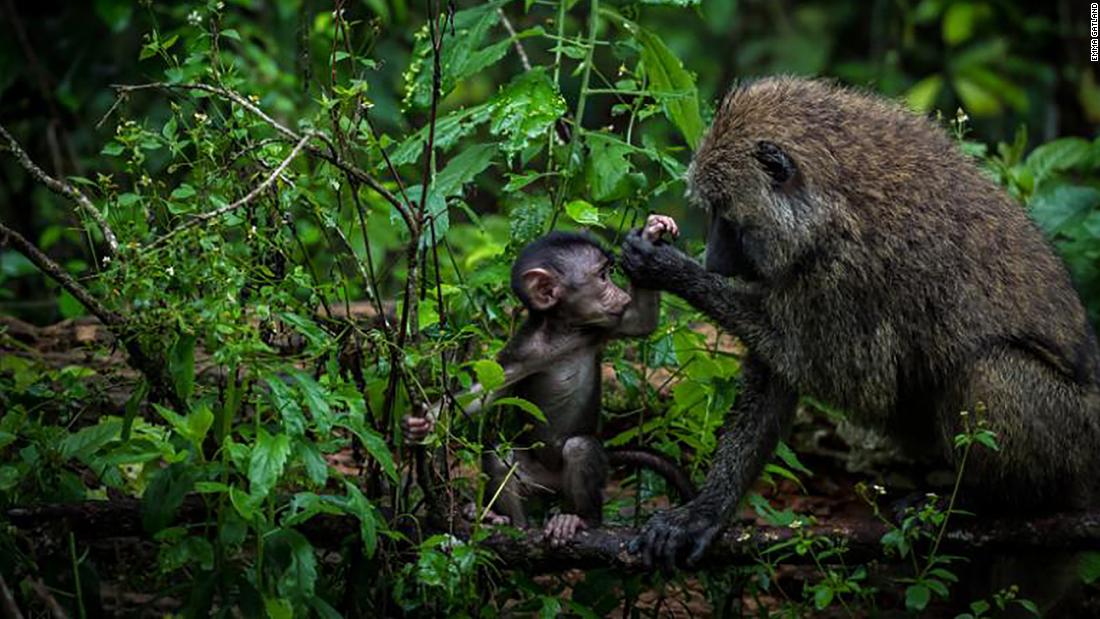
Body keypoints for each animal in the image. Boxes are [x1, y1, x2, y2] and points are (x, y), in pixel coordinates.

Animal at [409, 215, 690, 545]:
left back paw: (580, 519)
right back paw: (505, 519)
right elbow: (481, 396)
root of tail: (553, 483)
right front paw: (420, 423)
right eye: (602, 277)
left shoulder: (600, 327)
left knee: (579, 448)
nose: (621, 294)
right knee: (499, 456)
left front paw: (653, 230)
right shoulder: (523, 352)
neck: (563, 332)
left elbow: (641, 321)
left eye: (610, 273)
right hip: (535, 478)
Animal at [620, 77, 1100, 571]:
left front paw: (667, 267)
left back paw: (979, 503)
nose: (713, 261)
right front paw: (704, 514)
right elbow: (776, 375)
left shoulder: (848, 270)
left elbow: (840, 376)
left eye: (723, 212)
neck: (828, 199)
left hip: (1072, 439)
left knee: (991, 366)